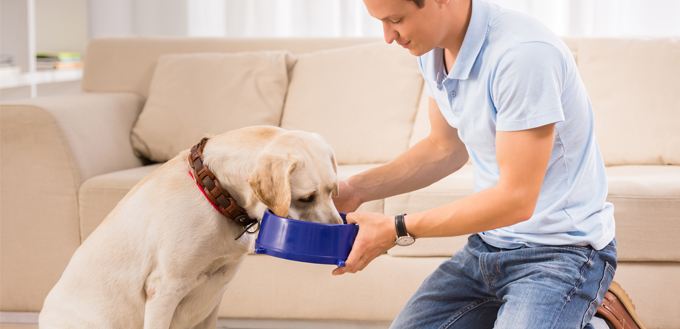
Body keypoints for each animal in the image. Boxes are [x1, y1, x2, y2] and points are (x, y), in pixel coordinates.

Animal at [39, 126, 342, 328]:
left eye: (333, 190)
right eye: (306, 198)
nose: (338, 228)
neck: (216, 191)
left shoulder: (215, 294)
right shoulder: (164, 291)